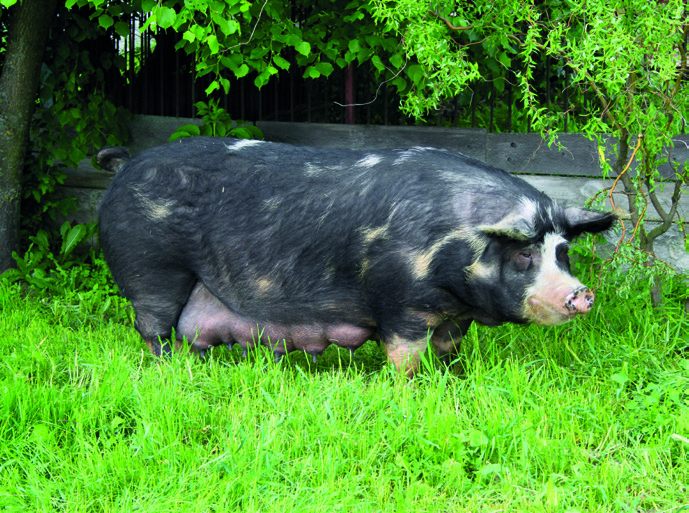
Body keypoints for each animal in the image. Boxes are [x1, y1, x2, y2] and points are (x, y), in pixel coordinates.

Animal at [98, 136, 620, 376]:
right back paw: (169, 370)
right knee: (153, 329)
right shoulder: (401, 303)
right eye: (525, 254)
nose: (583, 294)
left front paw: (453, 378)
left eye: (564, 252)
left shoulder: (454, 316)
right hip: (151, 270)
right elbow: (403, 356)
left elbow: (449, 351)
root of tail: (125, 166)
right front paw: (408, 390)